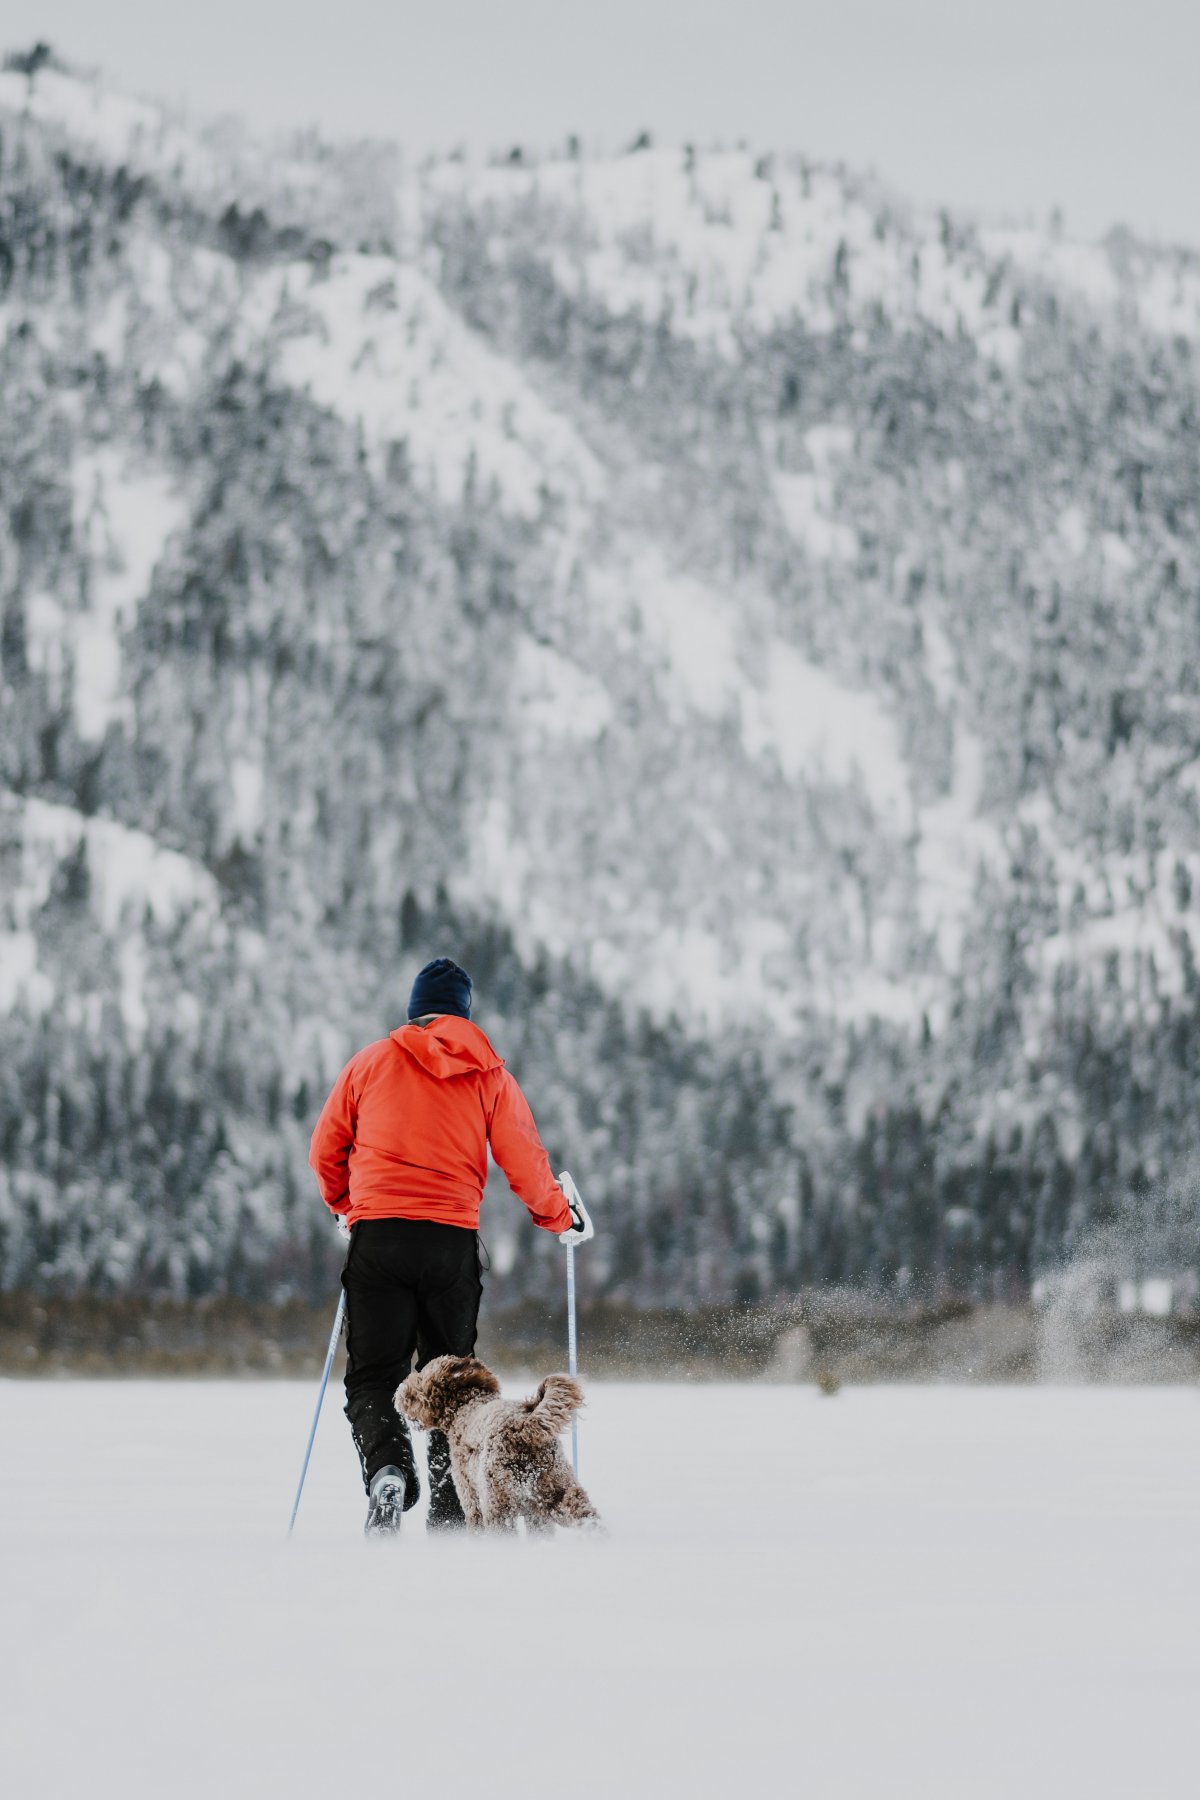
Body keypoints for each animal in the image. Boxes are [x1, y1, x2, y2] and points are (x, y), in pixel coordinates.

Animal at [395, 1353, 600, 1533]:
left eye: (421, 1377)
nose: (399, 1392)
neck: (465, 1405)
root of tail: (522, 1427)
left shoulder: (471, 1498)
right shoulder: (535, 1515)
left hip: (498, 1503)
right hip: (559, 1490)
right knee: (590, 1521)